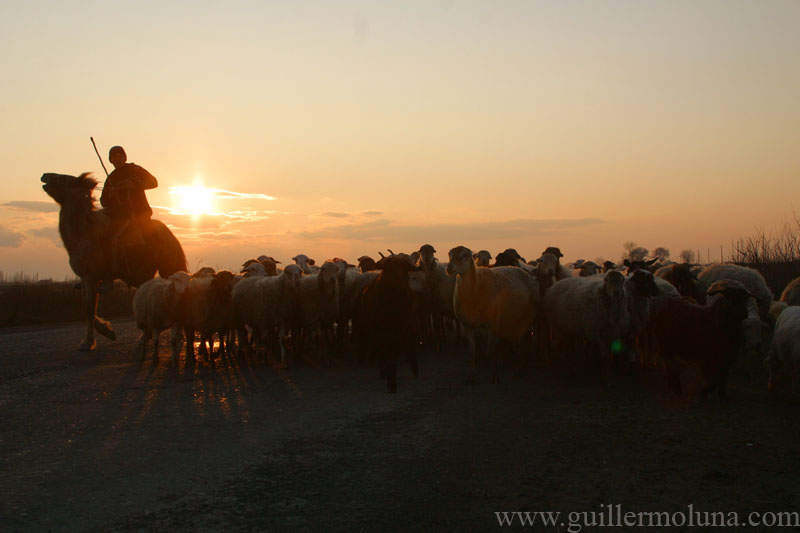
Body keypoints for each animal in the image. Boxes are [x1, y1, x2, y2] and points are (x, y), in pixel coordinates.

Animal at [41, 172, 188, 352]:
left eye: (63, 179)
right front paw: (107, 332)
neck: (83, 233)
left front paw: (89, 341)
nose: (44, 176)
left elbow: (89, 308)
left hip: (168, 267)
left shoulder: (90, 276)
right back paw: (146, 337)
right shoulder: (84, 278)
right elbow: (85, 306)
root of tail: (171, 236)